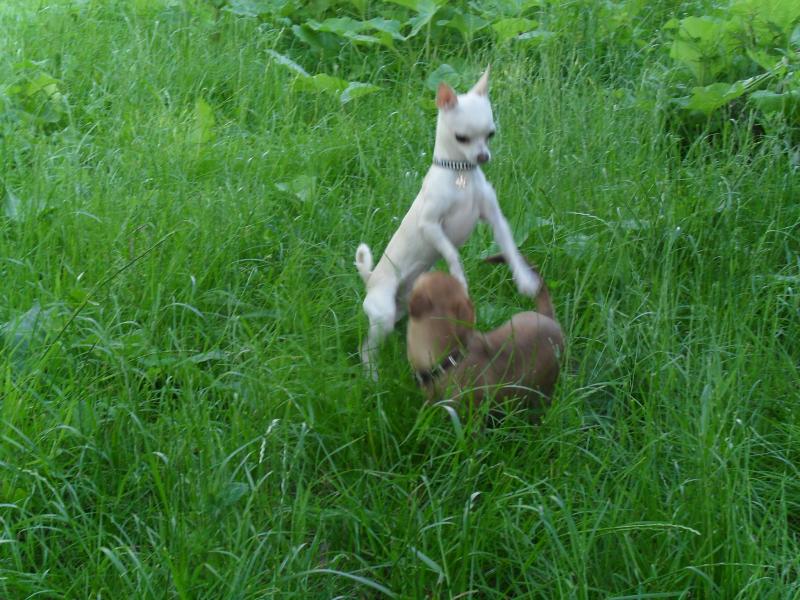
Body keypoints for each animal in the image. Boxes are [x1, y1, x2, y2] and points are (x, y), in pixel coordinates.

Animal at [355, 67, 540, 377]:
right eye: (461, 138)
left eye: (490, 134)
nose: (483, 156)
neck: (460, 174)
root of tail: (370, 278)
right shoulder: (430, 226)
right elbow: (452, 253)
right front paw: (460, 280)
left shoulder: (495, 219)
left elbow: (510, 248)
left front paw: (525, 280)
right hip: (383, 312)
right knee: (367, 347)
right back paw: (371, 375)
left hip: (403, 306)